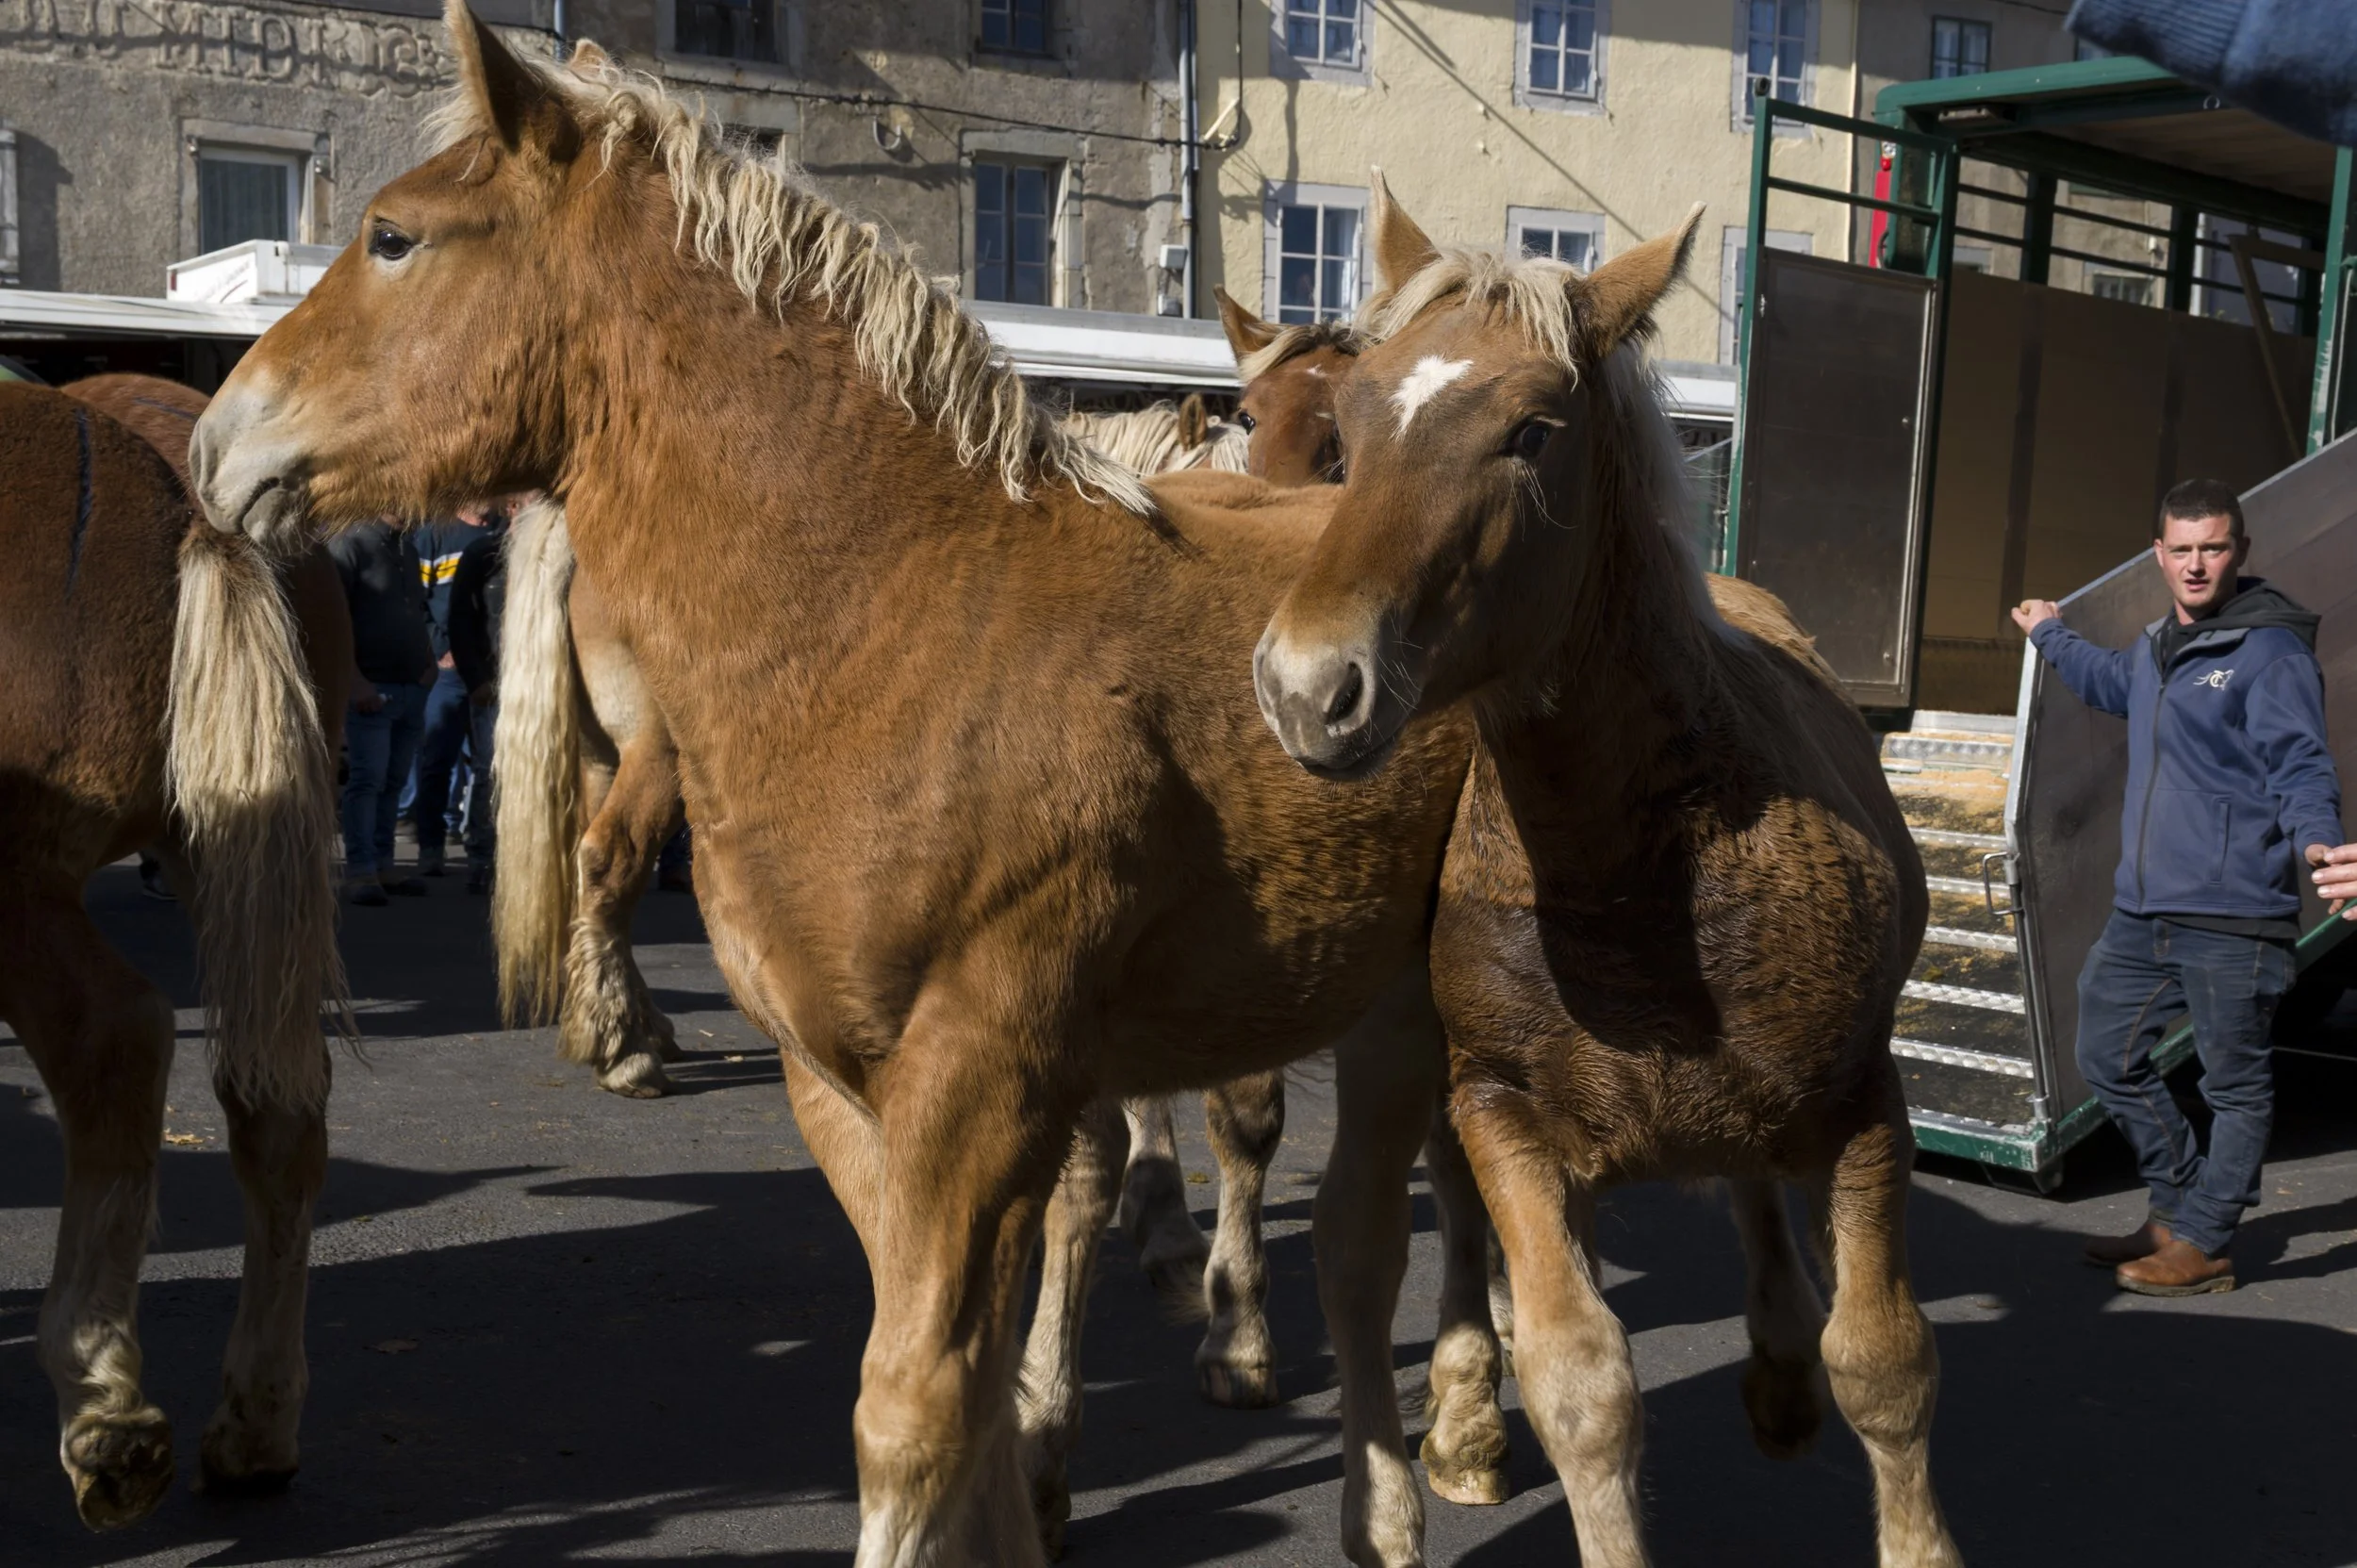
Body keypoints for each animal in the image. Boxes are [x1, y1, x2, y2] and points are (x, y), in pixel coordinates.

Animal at [180, 12, 1506, 1563]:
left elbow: (912, 1402)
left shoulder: (981, 1079)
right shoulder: (844, 1081)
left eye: (392, 236)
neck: (897, 620)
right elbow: (962, 1374)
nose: (214, 445)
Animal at [1255, 183, 1960, 1567]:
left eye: (1532, 430)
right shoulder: (1506, 1110)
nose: (1308, 685)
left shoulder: (1862, 1099)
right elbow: (1581, 1379)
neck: (1625, 870)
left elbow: (1886, 1361)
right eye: (1349, 431)